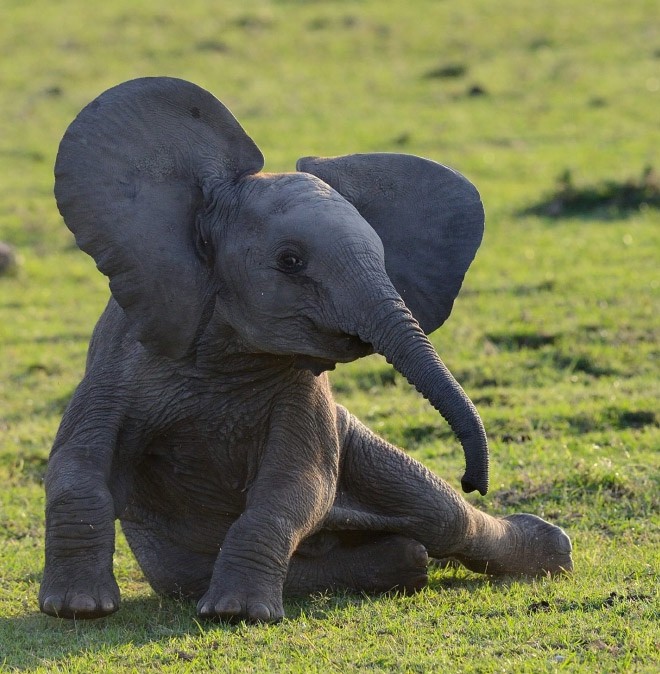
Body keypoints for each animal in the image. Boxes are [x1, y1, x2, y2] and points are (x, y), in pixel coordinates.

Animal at [38, 77, 572, 620]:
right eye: (290, 261)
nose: (472, 478)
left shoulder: (304, 390)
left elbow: (295, 485)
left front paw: (236, 614)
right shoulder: (120, 362)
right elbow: (76, 466)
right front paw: (78, 608)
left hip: (356, 440)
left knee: (442, 516)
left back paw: (552, 553)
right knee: (403, 548)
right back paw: (406, 558)